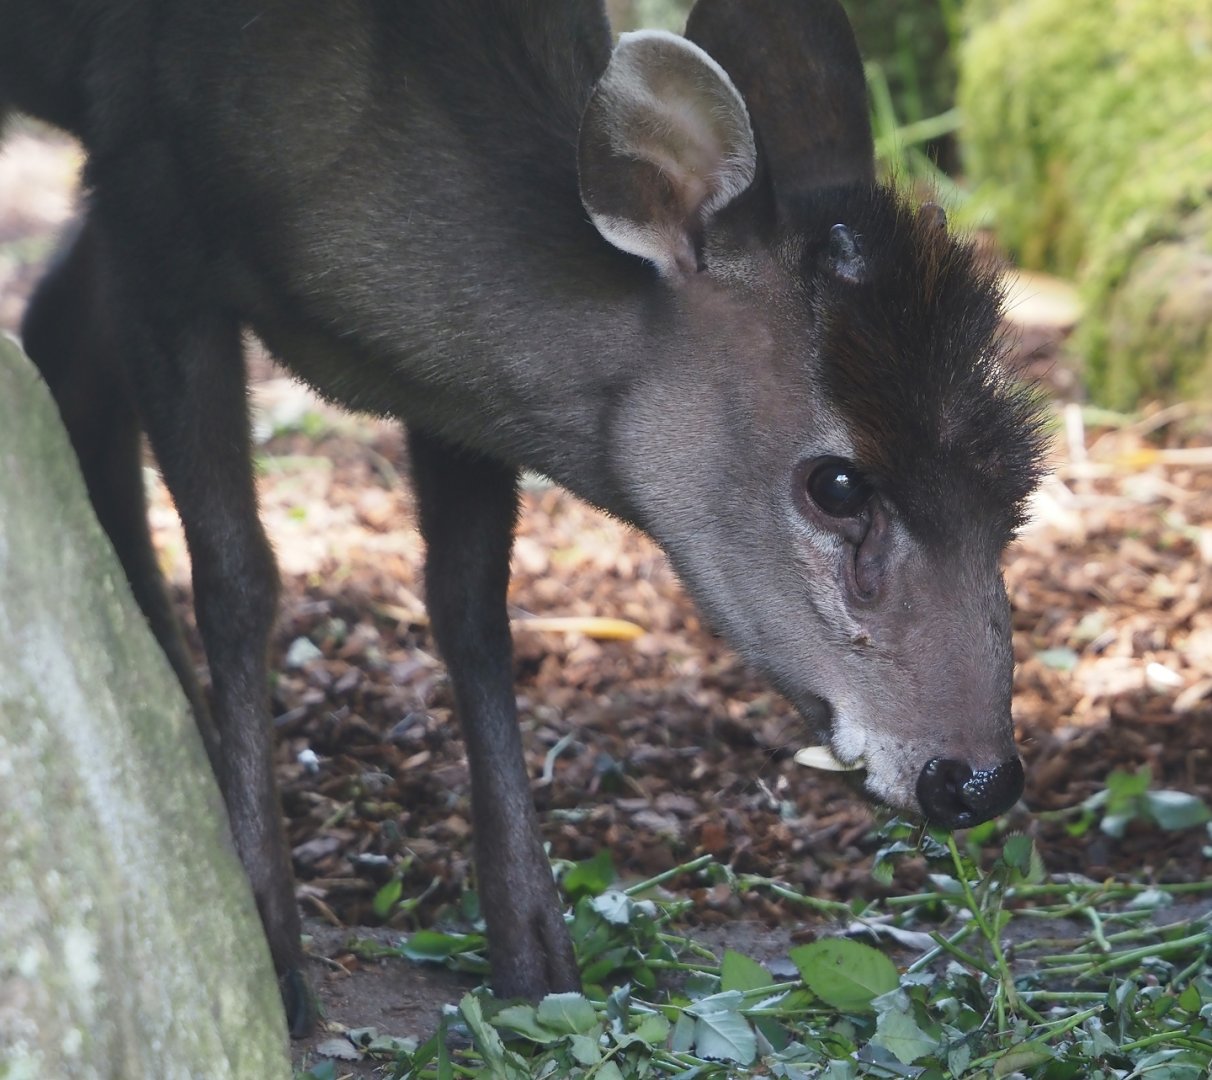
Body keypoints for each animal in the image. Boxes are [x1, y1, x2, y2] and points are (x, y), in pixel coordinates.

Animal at [0, 0, 1046, 1034]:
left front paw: (534, 948)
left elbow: (471, 605)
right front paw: (267, 938)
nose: (976, 780)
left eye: (1019, 484)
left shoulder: (454, 387)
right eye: (836, 484)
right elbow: (236, 573)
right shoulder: (150, 192)